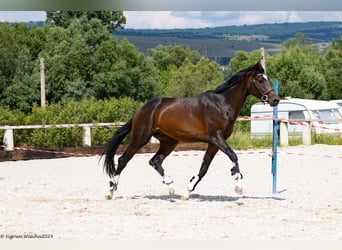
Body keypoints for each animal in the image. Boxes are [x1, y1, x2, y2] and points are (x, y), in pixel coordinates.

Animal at [103, 61, 280, 200]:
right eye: (260, 79)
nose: (275, 99)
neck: (222, 104)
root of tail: (141, 109)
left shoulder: (214, 143)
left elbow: (204, 168)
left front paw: (188, 191)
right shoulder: (216, 138)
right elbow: (233, 156)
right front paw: (238, 183)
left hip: (169, 141)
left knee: (155, 161)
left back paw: (170, 186)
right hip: (140, 138)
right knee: (123, 160)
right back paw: (111, 191)